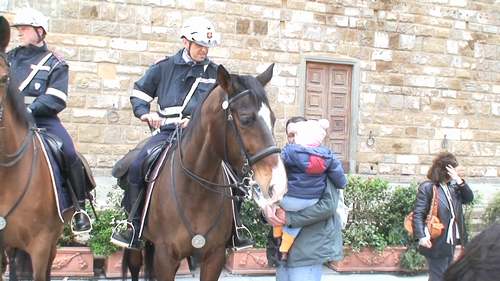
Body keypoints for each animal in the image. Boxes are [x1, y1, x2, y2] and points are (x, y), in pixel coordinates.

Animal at [124, 63, 290, 280]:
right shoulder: (165, 257)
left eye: (273, 119)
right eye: (246, 118)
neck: (195, 192)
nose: (278, 184)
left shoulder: (214, 256)